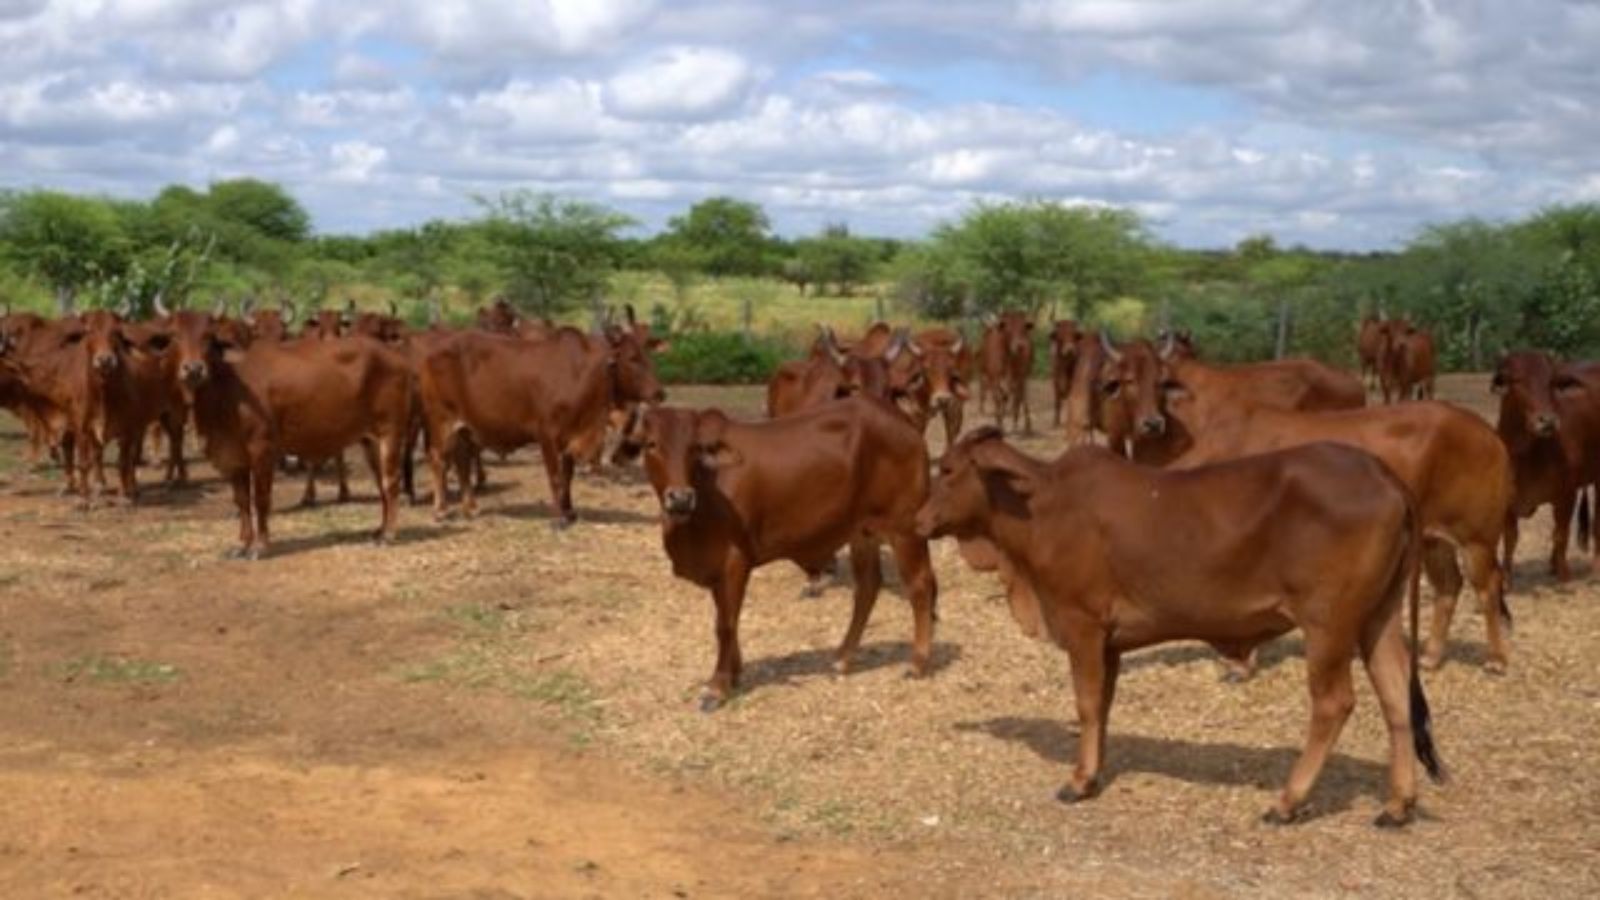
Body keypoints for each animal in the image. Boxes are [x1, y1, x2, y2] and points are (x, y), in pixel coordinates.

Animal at [160, 312, 412, 557]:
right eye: (174, 336)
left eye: (208, 337)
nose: (194, 369)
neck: (229, 389)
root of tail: (395, 356)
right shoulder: (234, 456)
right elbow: (242, 501)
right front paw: (242, 545)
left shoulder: (262, 449)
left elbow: (261, 498)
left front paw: (260, 547)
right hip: (369, 440)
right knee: (380, 482)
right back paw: (379, 529)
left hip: (391, 431)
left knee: (391, 481)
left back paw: (388, 534)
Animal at [419, 323, 662, 518]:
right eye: (632, 358)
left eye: (648, 356)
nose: (659, 392)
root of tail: (432, 352)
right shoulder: (547, 435)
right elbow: (555, 477)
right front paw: (559, 518)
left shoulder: (569, 436)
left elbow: (567, 476)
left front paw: (569, 511)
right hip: (440, 419)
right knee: (438, 459)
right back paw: (440, 510)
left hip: (464, 428)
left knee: (462, 460)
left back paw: (471, 507)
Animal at [617, 395, 934, 711]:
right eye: (651, 444)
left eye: (695, 448)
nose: (681, 498)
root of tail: (903, 420)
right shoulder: (717, 569)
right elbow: (727, 617)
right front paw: (734, 674)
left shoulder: (734, 561)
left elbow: (725, 624)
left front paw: (717, 687)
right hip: (862, 532)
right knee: (868, 586)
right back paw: (843, 658)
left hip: (904, 527)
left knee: (920, 586)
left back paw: (917, 663)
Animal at [921, 429, 1446, 826]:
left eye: (946, 469)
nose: (919, 519)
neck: (1042, 506)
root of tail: (1382, 473)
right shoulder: (1110, 642)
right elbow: (1103, 706)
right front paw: (1095, 772)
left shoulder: (1083, 625)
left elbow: (1087, 705)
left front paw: (1078, 781)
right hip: (1378, 616)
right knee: (1396, 696)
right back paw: (1398, 805)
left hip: (1327, 623)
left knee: (1334, 703)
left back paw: (1287, 801)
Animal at [1177, 403, 1510, 669]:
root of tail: (1488, 432)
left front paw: (1240, 663)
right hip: (1434, 538)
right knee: (1448, 585)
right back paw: (1430, 657)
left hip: (1477, 536)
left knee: (1487, 586)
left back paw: (1496, 659)